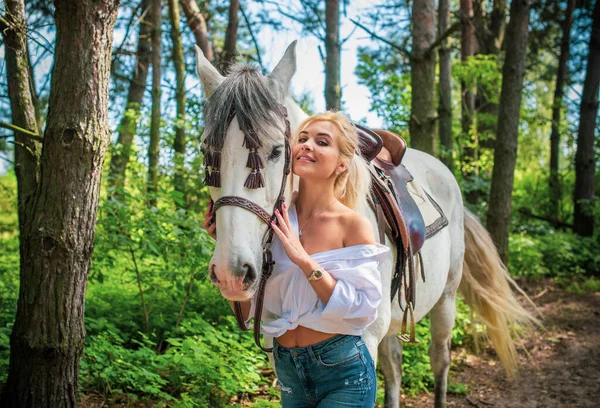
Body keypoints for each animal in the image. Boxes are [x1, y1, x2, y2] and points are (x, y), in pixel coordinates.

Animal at [196, 42, 536, 408]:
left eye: (275, 151)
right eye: (208, 154)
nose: (231, 272)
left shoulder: (366, 335)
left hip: (445, 299)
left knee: (440, 359)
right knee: (395, 366)